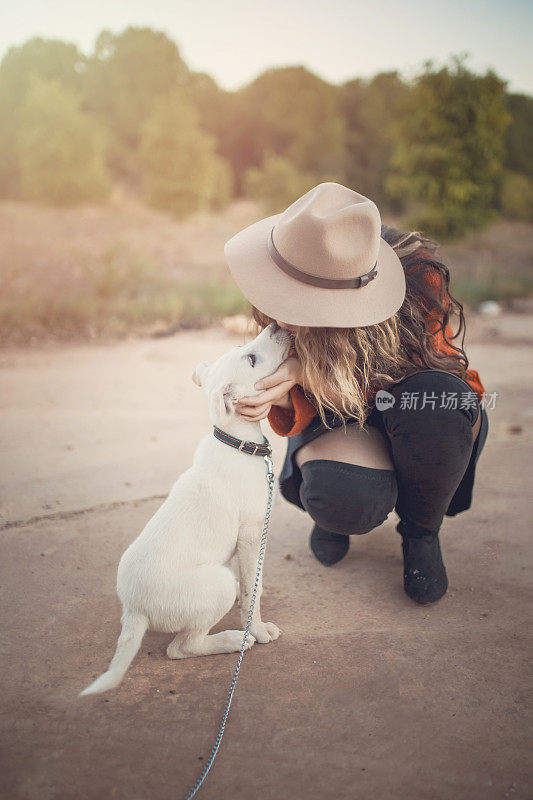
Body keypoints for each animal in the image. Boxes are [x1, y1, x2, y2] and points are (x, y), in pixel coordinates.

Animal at [80, 322, 290, 696]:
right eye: (251, 359)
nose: (276, 324)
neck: (237, 442)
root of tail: (133, 610)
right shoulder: (252, 535)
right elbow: (254, 586)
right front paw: (257, 628)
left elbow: (253, 583)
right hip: (218, 583)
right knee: (181, 648)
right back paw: (232, 640)